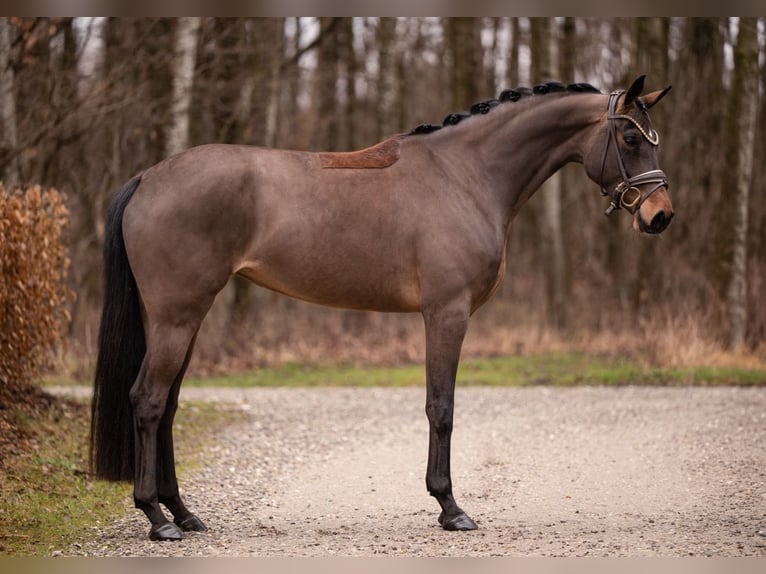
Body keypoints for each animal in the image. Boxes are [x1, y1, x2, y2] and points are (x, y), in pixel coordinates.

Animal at [90, 75, 673, 541]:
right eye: (628, 138)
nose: (661, 215)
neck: (466, 175)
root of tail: (148, 178)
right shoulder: (446, 314)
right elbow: (442, 408)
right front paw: (450, 508)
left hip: (179, 319)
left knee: (167, 405)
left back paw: (183, 513)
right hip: (178, 315)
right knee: (148, 400)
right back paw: (156, 519)